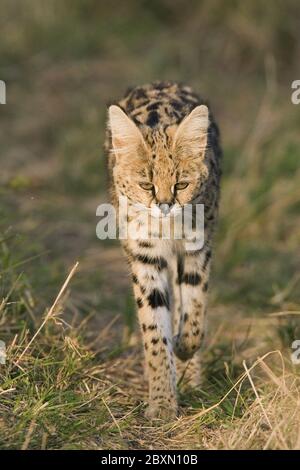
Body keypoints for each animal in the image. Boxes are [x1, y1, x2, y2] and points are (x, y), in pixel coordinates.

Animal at [105, 81, 220, 418]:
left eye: (182, 184)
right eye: (147, 185)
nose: (165, 205)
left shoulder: (198, 249)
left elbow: (194, 311)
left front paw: (183, 349)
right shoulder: (146, 257)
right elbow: (154, 330)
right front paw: (162, 401)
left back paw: (189, 371)